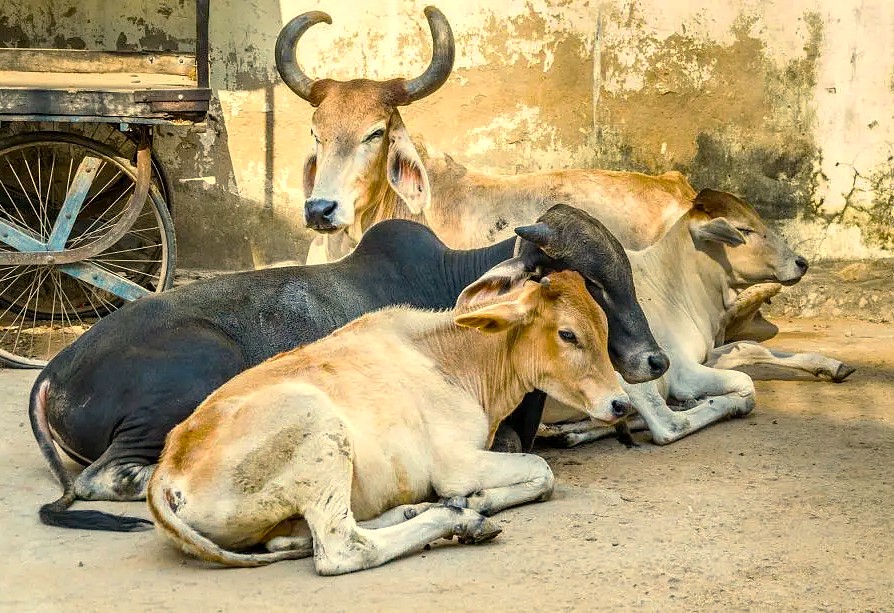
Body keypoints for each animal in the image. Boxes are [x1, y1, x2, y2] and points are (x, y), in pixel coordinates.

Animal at [147, 270, 628, 573]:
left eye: (603, 327)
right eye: (568, 334)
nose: (621, 403)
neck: (453, 360)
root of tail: (166, 470)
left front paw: (472, 501)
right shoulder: (457, 464)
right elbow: (543, 472)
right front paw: (478, 501)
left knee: (292, 540)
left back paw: (422, 508)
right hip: (318, 428)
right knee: (343, 548)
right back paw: (458, 519)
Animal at [537, 190, 854, 447]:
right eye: (744, 229)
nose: (800, 263)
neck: (670, 283)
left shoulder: (706, 354)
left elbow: (753, 348)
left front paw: (832, 365)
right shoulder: (682, 372)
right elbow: (745, 383)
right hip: (633, 376)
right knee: (668, 425)